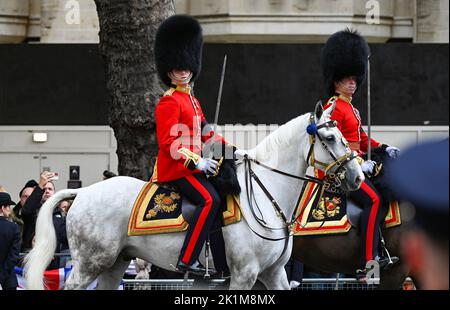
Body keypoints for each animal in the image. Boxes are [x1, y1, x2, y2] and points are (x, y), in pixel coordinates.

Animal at [24, 103, 364, 290]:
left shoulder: (274, 273)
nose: (357, 176)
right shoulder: (244, 275)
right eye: (330, 136)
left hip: (114, 264)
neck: (266, 191)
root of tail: (82, 192)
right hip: (88, 264)